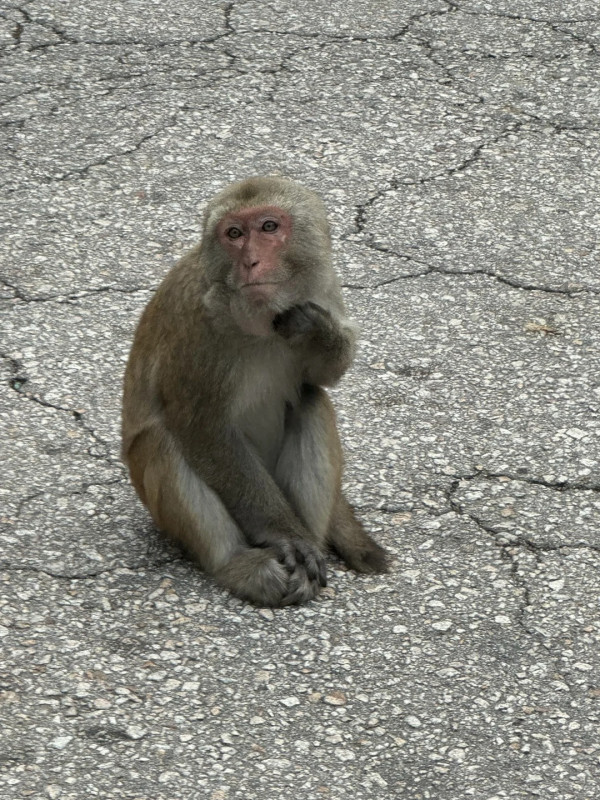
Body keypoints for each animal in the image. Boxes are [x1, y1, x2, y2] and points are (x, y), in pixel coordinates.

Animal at [120, 175, 390, 608]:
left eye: (268, 227)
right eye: (233, 234)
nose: (250, 262)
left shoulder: (324, 287)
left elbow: (322, 376)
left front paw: (318, 334)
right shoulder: (197, 326)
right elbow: (204, 429)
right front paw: (286, 535)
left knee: (311, 401)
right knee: (162, 441)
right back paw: (239, 565)